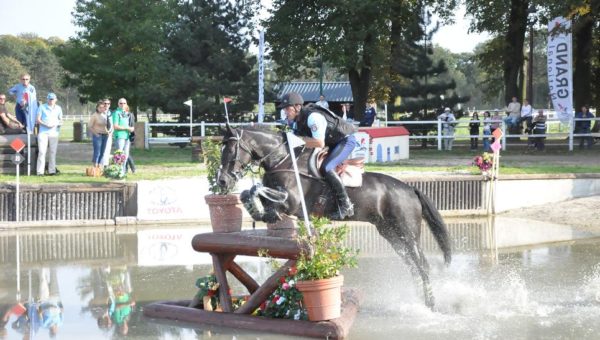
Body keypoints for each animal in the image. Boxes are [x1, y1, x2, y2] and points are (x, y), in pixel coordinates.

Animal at [218, 125, 452, 308]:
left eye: (230, 150)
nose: (222, 181)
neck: (281, 160)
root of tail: (411, 189)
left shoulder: (291, 202)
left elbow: (257, 189)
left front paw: (259, 208)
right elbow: (251, 193)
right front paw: (258, 211)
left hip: (408, 233)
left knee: (422, 264)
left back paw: (431, 304)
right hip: (391, 233)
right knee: (411, 265)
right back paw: (419, 299)